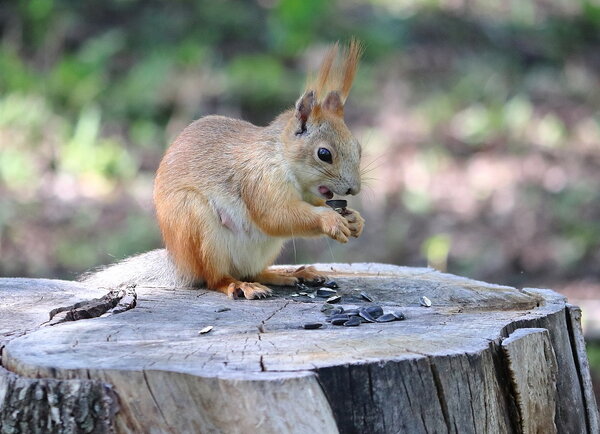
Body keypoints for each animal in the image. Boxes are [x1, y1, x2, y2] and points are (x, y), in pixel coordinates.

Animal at [83, 40, 366, 298]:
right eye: (324, 154)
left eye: (359, 148)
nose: (354, 189)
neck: (280, 157)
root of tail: (180, 263)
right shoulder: (259, 180)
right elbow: (276, 216)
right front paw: (330, 220)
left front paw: (354, 219)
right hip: (196, 224)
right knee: (215, 279)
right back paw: (239, 285)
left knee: (253, 271)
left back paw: (287, 274)